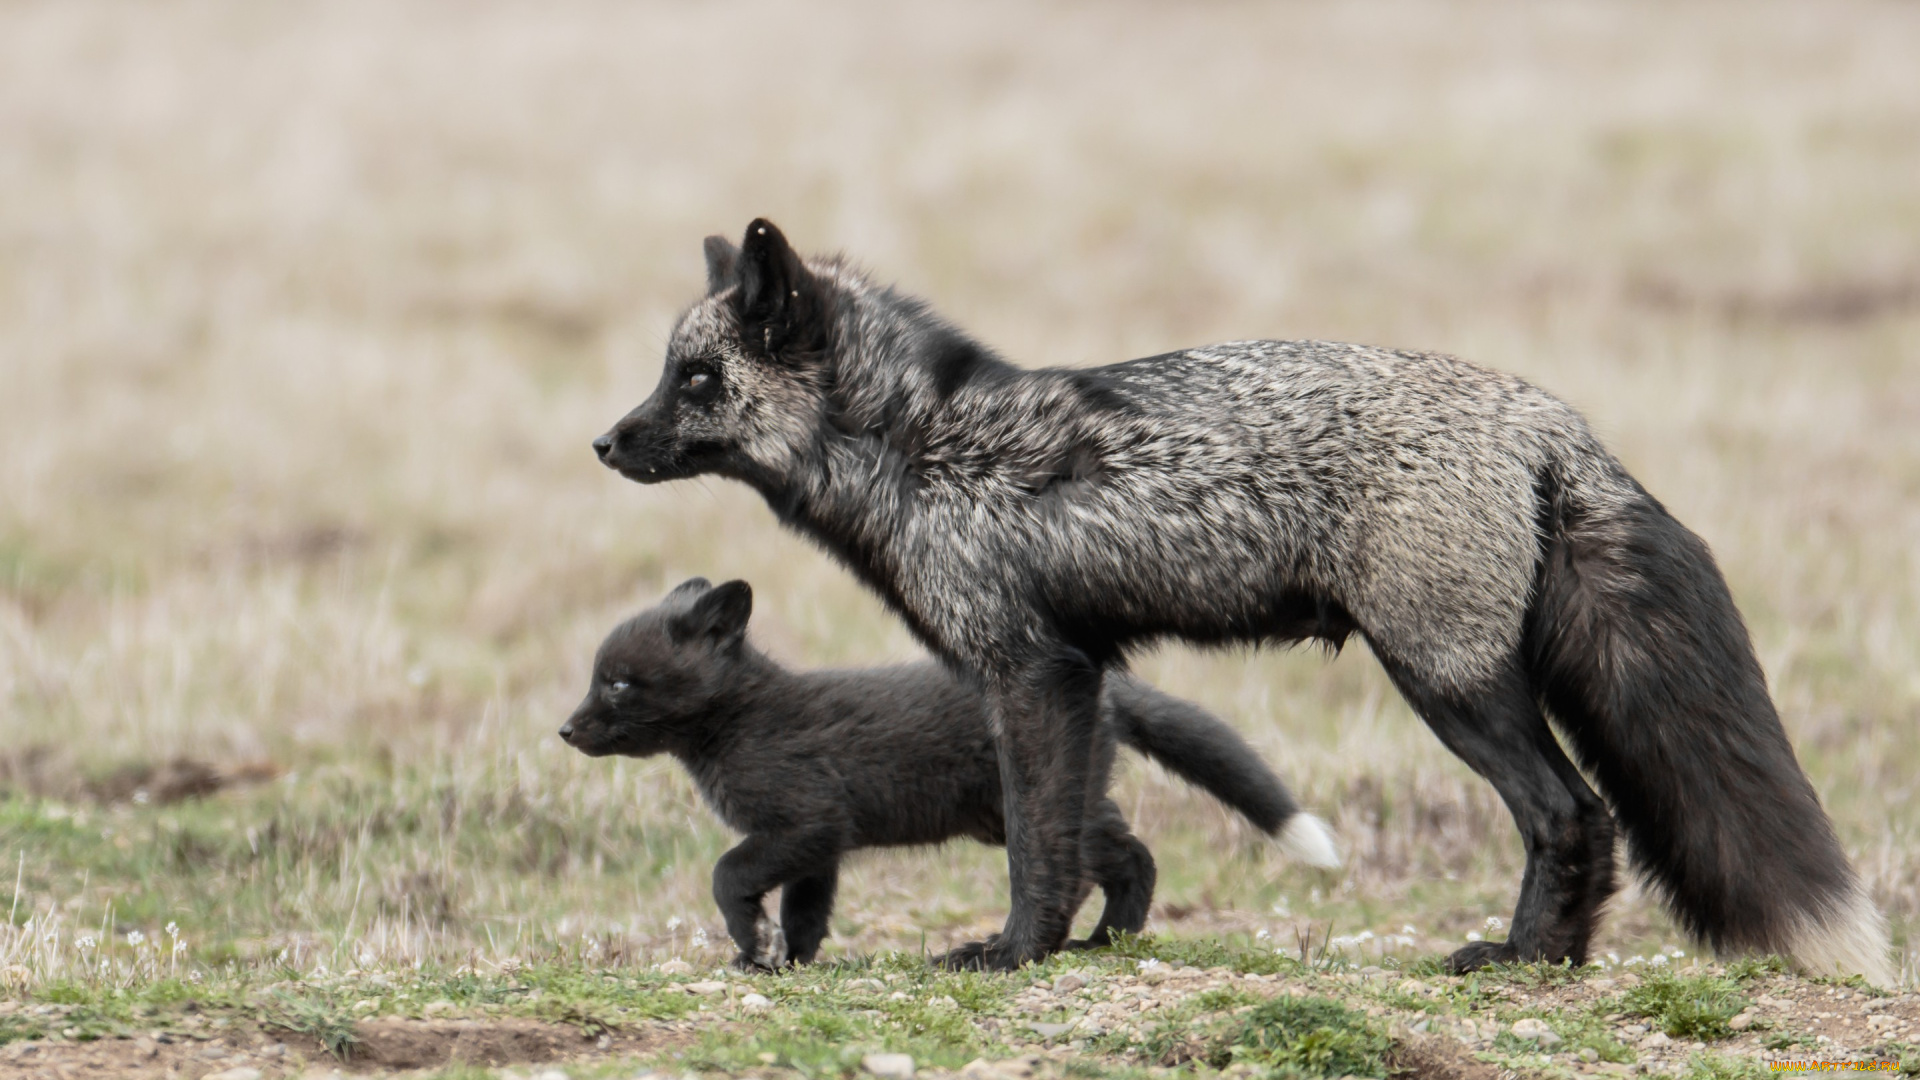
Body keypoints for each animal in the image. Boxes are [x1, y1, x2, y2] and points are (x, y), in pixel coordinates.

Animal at [595, 216, 1889, 976]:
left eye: (695, 379)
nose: (604, 444)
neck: (927, 447)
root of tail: (1546, 416)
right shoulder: (1079, 674)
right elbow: (1080, 836)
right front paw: (1086, 945)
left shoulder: (1030, 669)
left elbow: (1037, 843)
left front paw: (1015, 954)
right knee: (1583, 818)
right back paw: (1551, 958)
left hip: (1447, 682)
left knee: (1571, 812)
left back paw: (1523, 960)